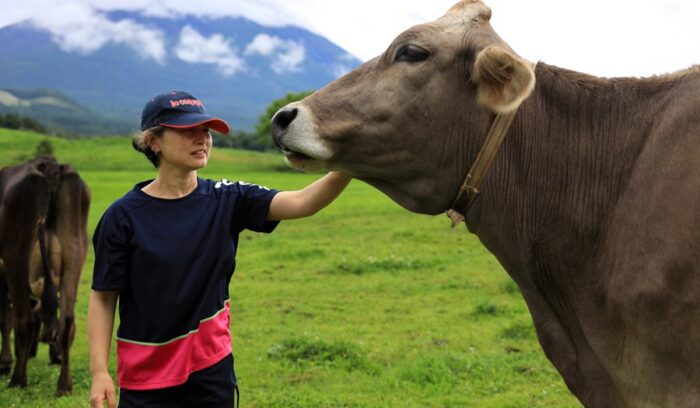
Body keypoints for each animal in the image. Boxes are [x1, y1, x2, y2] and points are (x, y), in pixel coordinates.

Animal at [0, 156, 90, 396]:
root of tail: (50, 168)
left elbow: (6, 320)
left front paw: (5, 362)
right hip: (74, 256)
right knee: (66, 321)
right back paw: (64, 386)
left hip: (16, 260)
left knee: (25, 321)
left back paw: (18, 380)